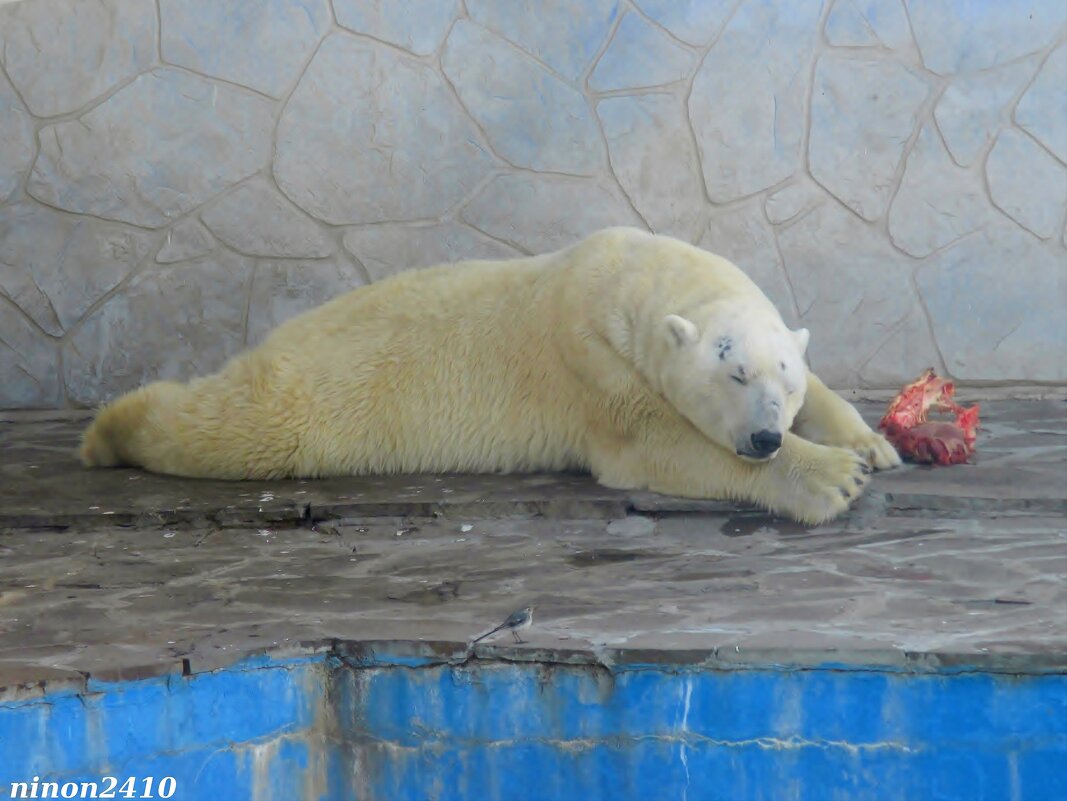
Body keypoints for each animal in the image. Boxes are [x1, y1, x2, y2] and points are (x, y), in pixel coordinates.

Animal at [83, 228, 900, 522]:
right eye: (732, 376)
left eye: (782, 383)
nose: (764, 437)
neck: (631, 272)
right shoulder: (587, 355)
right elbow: (653, 441)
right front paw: (833, 477)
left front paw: (873, 443)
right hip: (308, 398)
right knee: (231, 427)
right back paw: (107, 431)